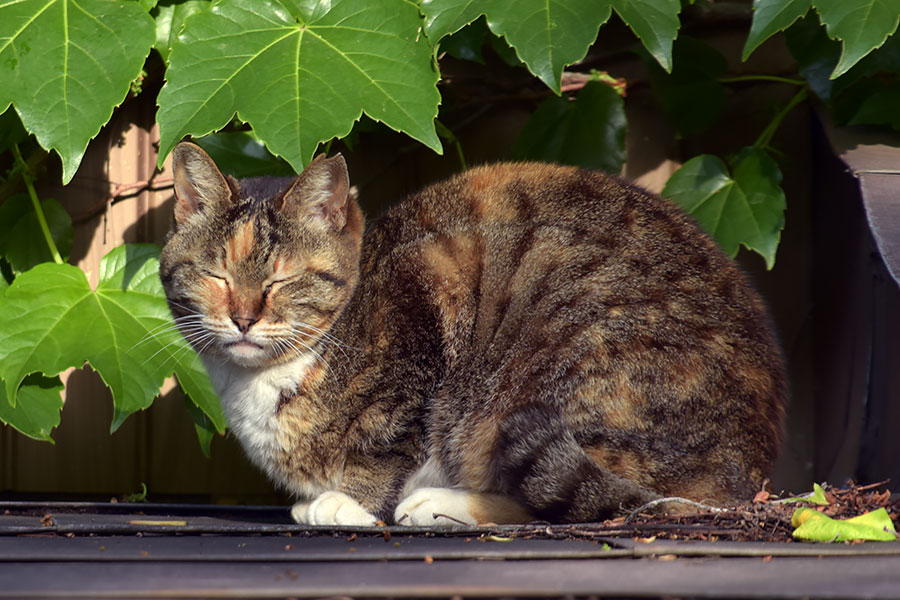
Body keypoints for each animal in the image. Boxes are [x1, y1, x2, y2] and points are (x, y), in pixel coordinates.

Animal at [158, 141, 784, 524]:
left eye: (282, 279)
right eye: (216, 275)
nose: (243, 318)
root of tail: (749, 470)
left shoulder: (427, 294)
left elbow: (386, 440)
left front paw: (349, 503)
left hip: (563, 368)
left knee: (609, 501)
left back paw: (437, 503)